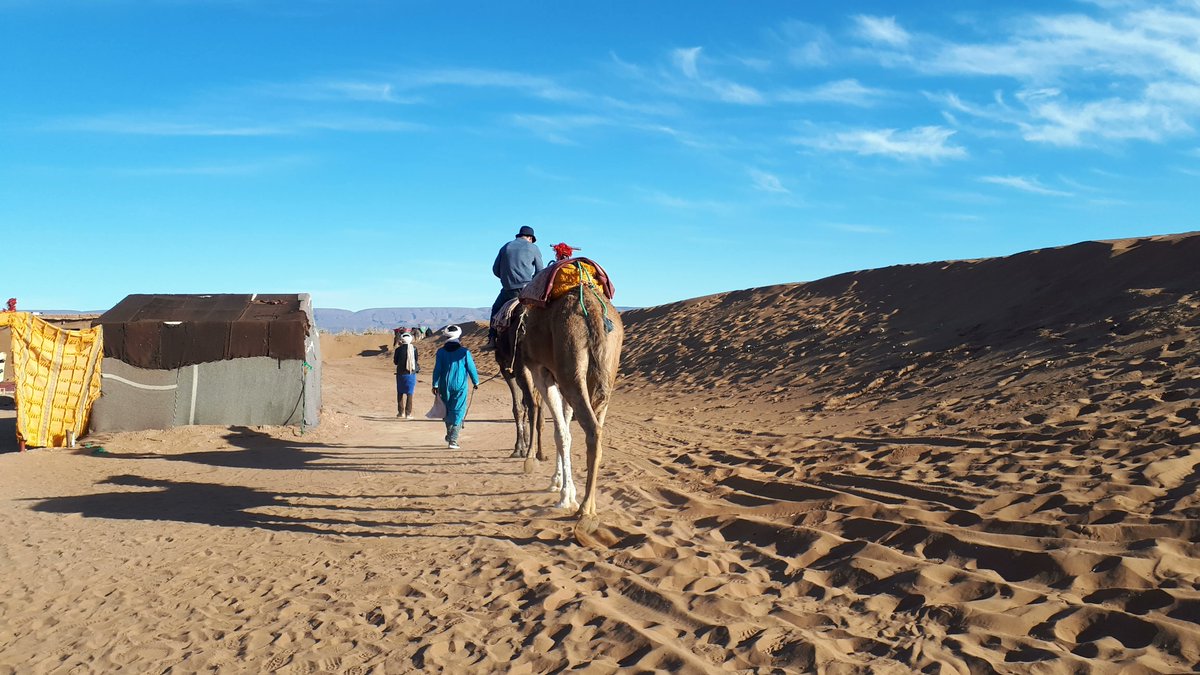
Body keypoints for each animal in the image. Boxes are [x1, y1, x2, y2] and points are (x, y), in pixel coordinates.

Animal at [518, 281, 628, 528]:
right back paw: (589, 504)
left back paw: (585, 509)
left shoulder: (542, 372)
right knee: (598, 425)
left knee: (592, 429)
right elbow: (565, 430)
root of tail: (593, 310)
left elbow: (560, 433)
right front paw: (560, 485)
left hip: (571, 365)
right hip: (607, 370)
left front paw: (565, 496)